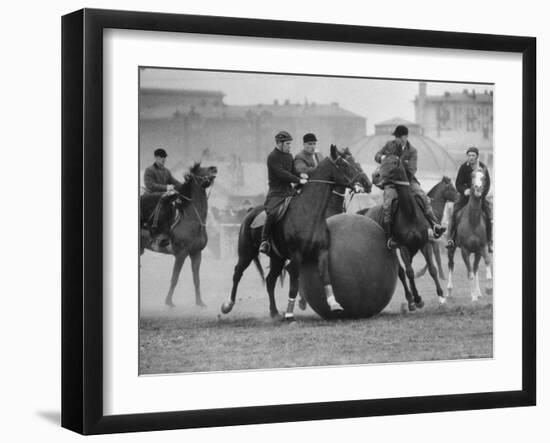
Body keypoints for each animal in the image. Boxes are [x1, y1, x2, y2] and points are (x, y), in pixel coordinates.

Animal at [139, 162, 219, 308]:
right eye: (200, 169)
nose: (213, 168)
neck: (191, 218)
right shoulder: (181, 254)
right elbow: (174, 278)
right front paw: (169, 302)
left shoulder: (196, 253)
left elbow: (196, 280)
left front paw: (200, 303)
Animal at [222, 147, 374, 320]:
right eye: (344, 164)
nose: (367, 183)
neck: (309, 212)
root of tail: (250, 211)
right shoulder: (296, 257)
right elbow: (294, 285)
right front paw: (290, 313)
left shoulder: (321, 252)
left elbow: (325, 275)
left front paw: (334, 304)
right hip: (246, 253)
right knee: (237, 273)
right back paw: (228, 305)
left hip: (277, 258)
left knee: (270, 281)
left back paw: (274, 312)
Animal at [368, 156, 446, 312]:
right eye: (382, 162)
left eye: (394, 163)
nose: (375, 176)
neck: (410, 213)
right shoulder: (403, 246)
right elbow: (409, 272)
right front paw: (417, 299)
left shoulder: (424, 243)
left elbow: (432, 269)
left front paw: (441, 296)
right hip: (394, 249)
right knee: (402, 273)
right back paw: (410, 300)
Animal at [446, 168, 494, 304]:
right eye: (472, 176)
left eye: (483, 177)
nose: (478, 188)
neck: (473, 220)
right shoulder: (465, 251)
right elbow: (470, 273)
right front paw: (473, 297)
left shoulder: (482, 247)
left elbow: (486, 262)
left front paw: (488, 289)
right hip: (451, 249)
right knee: (451, 265)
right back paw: (449, 291)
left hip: (477, 252)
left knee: (476, 267)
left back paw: (478, 292)